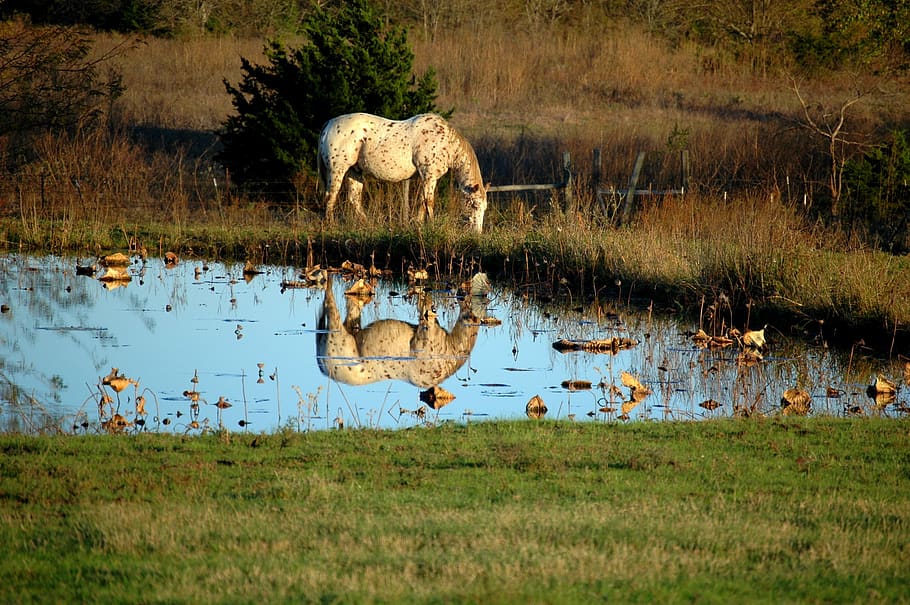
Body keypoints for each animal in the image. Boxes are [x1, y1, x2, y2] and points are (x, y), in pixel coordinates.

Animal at [315, 277, 483, 389]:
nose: (460, 290)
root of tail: (321, 365)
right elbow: (425, 306)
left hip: (350, 327)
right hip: (336, 330)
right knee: (329, 300)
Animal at [317, 113, 488, 233]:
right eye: (474, 205)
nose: (477, 232)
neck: (444, 142)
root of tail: (328, 124)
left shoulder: (427, 178)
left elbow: (422, 202)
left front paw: (418, 225)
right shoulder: (429, 175)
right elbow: (429, 202)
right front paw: (432, 225)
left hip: (355, 171)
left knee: (354, 199)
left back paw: (368, 225)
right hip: (337, 170)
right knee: (330, 197)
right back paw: (330, 225)